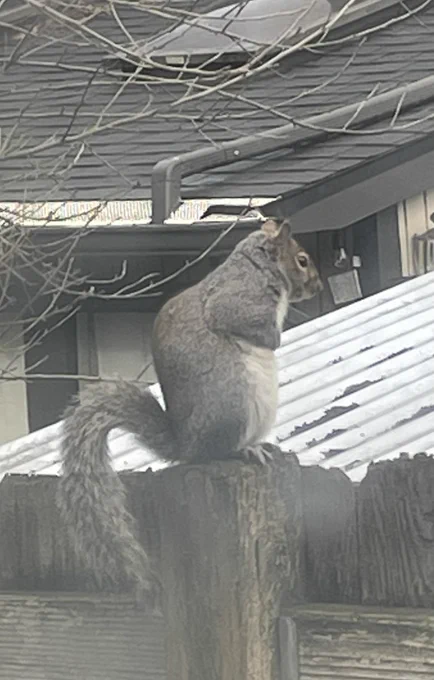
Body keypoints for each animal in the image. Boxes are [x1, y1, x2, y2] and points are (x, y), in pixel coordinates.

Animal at [57, 218, 322, 600]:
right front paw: (276, 338)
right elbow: (251, 325)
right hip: (233, 405)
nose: (318, 285)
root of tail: (185, 445)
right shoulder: (239, 300)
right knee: (215, 452)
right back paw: (245, 450)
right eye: (301, 260)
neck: (257, 265)